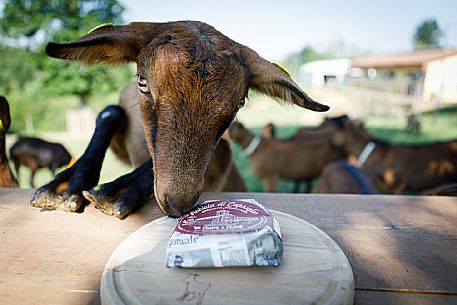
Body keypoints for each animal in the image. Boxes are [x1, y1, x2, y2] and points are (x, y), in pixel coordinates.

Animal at [29, 20, 328, 216]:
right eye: (142, 82)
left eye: (240, 102)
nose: (178, 204)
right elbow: (110, 112)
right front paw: (68, 185)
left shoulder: (221, 158)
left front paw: (119, 191)